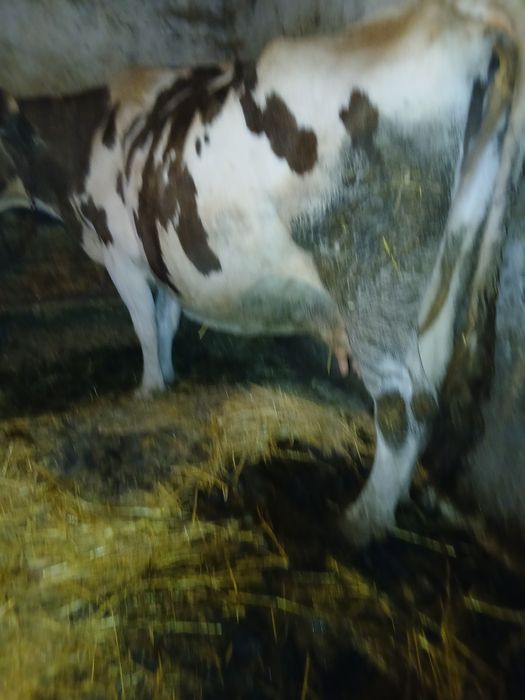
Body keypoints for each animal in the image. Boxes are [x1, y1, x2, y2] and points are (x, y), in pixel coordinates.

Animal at [1, 0, 524, 544]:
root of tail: (464, 20)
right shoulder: (161, 256)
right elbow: (166, 320)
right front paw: (167, 375)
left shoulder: (119, 254)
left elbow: (144, 325)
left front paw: (147, 387)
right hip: (444, 272)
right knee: (429, 390)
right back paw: (393, 502)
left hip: (375, 279)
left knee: (404, 402)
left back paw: (362, 520)